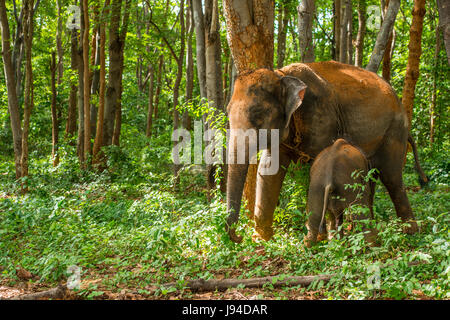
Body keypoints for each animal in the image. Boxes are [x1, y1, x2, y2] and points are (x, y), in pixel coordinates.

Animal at [227, 60, 420, 242]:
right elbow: (268, 170)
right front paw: (262, 240)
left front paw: (323, 237)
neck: (280, 74)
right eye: (227, 112)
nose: (239, 237)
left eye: (258, 113)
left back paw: (409, 231)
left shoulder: (322, 118)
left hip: (394, 131)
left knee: (392, 178)